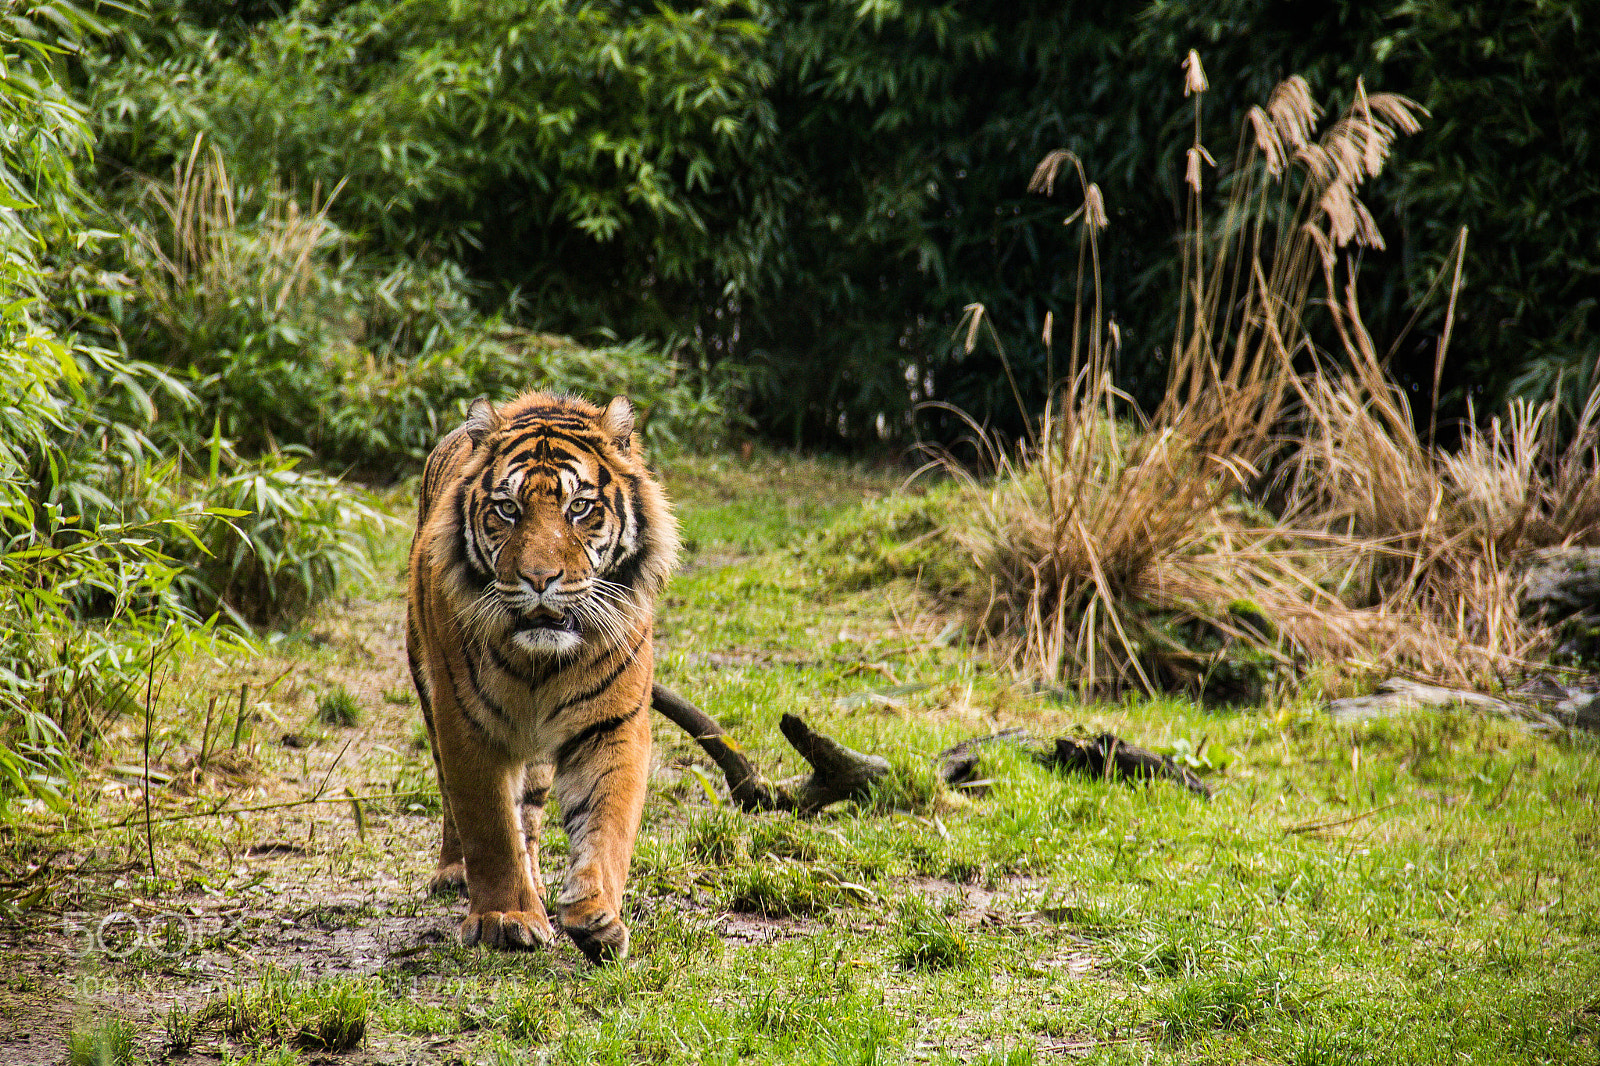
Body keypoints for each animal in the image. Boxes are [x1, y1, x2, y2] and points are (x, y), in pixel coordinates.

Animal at [405, 391, 679, 962]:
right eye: (508, 509)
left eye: (580, 507)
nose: (539, 579)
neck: (540, 663)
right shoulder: (466, 723)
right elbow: (488, 825)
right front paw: (505, 918)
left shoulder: (613, 724)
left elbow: (608, 824)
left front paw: (597, 915)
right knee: (453, 799)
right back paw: (454, 873)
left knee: (529, 816)